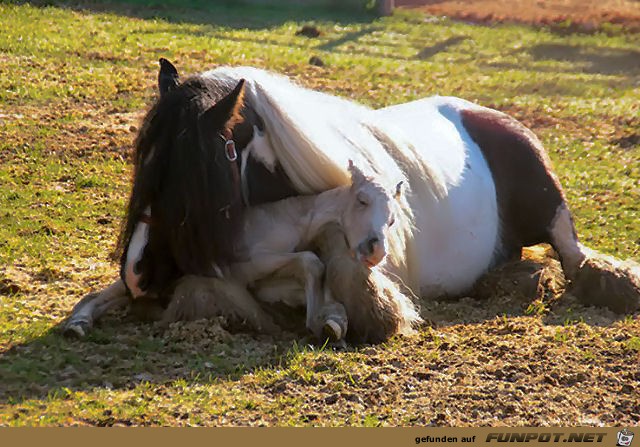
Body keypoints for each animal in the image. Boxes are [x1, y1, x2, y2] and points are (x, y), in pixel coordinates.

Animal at [66, 59, 640, 344]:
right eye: (143, 163)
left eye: (195, 174)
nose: (139, 272)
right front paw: (82, 316)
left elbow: (316, 276)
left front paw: (333, 316)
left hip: (551, 205)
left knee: (574, 254)